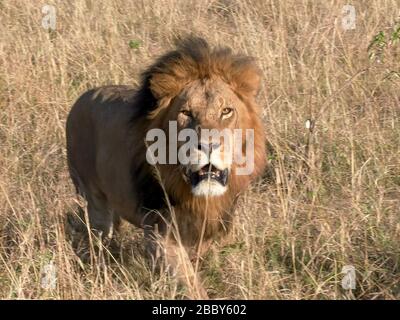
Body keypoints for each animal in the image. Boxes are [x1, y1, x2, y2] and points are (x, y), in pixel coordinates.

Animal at [65, 37, 266, 298]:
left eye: (226, 111)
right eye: (186, 113)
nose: (209, 145)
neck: (196, 196)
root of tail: (82, 97)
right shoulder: (161, 234)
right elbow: (190, 282)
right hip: (94, 200)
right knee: (99, 236)